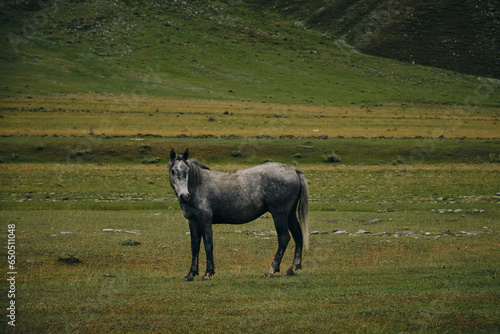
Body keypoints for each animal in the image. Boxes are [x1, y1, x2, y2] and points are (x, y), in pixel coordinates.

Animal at [168, 149, 308, 282]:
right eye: (173, 171)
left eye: (187, 170)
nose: (184, 196)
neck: (198, 184)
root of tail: (293, 170)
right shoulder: (193, 221)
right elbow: (195, 247)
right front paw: (190, 274)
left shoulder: (205, 220)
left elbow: (208, 245)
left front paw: (207, 273)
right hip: (289, 215)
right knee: (297, 235)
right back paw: (292, 268)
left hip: (279, 214)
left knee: (284, 238)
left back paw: (271, 271)